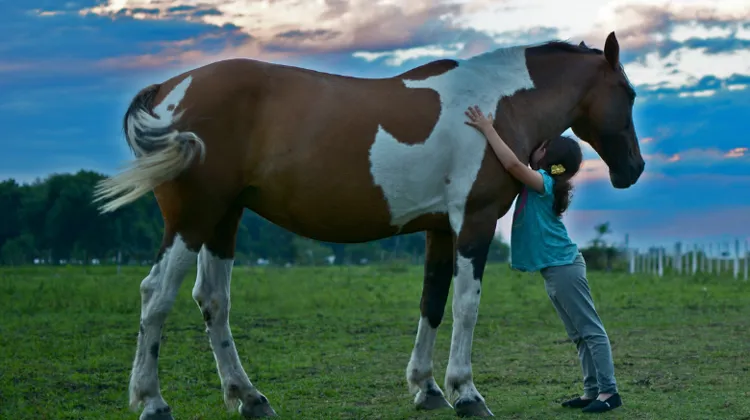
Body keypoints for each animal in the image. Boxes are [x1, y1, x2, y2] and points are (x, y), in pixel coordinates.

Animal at [94, 31, 644, 419]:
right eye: (630, 93)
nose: (633, 169)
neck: (497, 104)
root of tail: (170, 90)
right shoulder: (475, 221)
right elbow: (466, 307)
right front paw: (466, 392)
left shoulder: (439, 229)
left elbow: (433, 303)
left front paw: (426, 388)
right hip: (193, 218)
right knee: (156, 296)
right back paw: (153, 402)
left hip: (223, 219)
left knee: (212, 301)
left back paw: (249, 398)